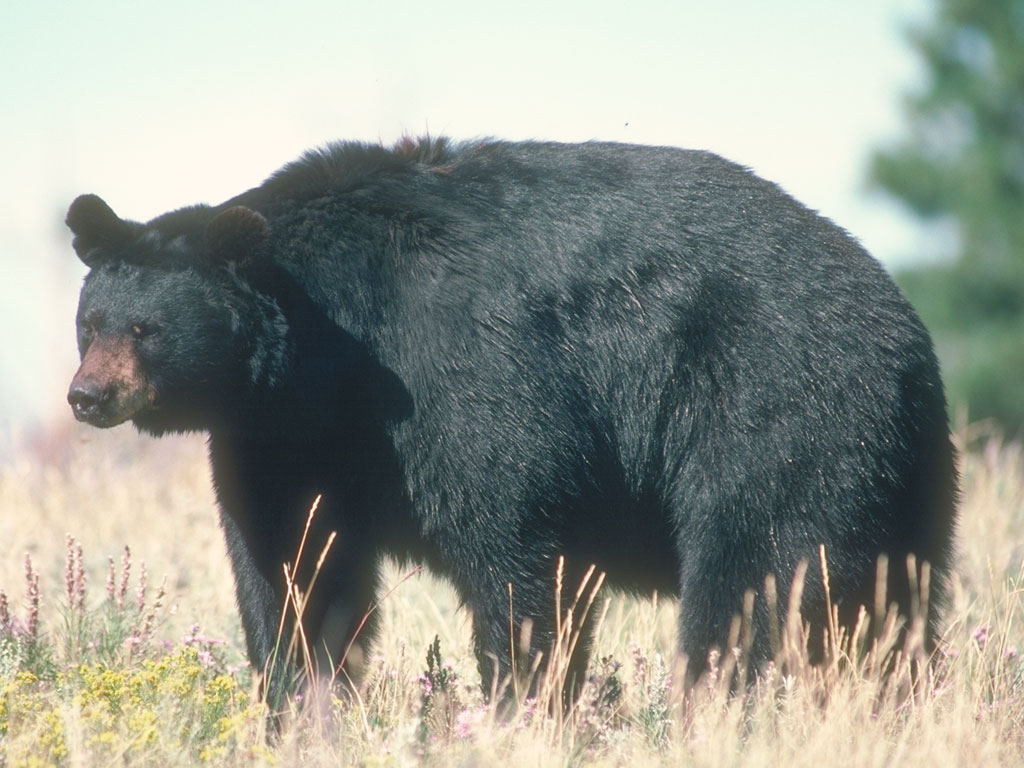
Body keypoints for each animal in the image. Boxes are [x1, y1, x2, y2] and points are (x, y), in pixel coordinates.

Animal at [68, 138, 954, 704]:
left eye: (145, 329)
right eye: (91, 322)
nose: (87, 396)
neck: (318, 364)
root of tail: (904, 325)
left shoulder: (455, 375)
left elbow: (514, 544)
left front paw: (520, 699)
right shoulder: (281, 442)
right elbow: (294, 567)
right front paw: (297, 698)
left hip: (778, 412)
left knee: (759, 575)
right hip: (901, 473)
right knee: (889, 606)